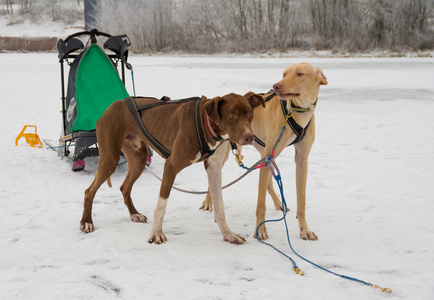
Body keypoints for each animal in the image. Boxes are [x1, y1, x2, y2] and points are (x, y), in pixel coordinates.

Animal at [80, 93, 264, 244]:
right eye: (231, 115)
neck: (205, 123)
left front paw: (228, 234)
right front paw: (156, 234)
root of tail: (112, 105)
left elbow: (220, 208)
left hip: (139, 159)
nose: (249, 137)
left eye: (250, 114)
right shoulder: (171, 166)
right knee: (89, 191)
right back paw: (86, 222)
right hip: (110, 159)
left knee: (125, 187)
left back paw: (134, 214)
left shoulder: (214, 169)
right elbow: (161, 205)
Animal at [202, 62, 328, 241]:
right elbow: (260, 204)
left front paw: (304, 229)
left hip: (265, 154)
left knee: (268, 181)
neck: (296, 112)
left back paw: (279, 203)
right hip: (228, 155)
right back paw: (208, 201)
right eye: (284, 74)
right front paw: (260, 230)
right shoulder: (267, 155)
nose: (276, 86)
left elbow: (301, 201)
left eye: (299, 74)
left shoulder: (301, 161)